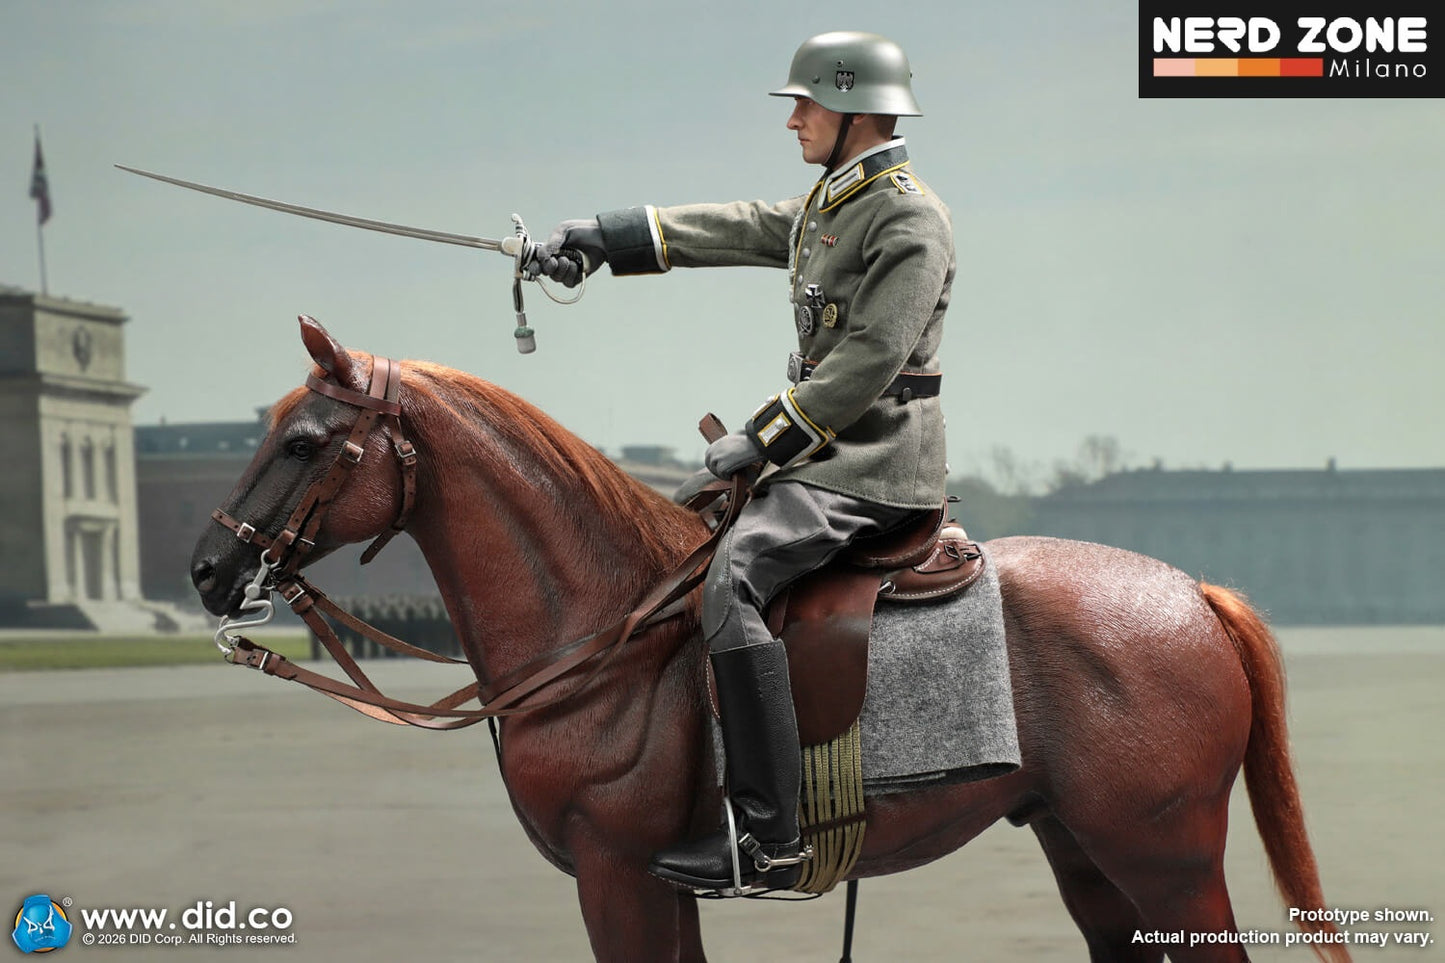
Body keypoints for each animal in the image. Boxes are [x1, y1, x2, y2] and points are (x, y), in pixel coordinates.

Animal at [190, 317, 1351, 963]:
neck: (597, 626)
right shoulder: (654, 887)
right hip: (1082, 847)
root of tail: (1192, 592)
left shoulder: (615, 875)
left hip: (1165, 856)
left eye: (303, 441)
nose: (206, 570)